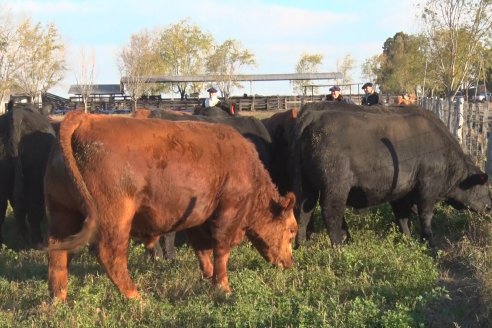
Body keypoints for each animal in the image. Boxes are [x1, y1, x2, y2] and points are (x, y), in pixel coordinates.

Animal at [45, 111, 296, 302]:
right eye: (292, 230)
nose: (290, 263)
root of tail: (85, 117)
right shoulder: (228, 212)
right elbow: (221, 250)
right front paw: (223, 287)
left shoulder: (197, 218)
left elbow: (202, 251)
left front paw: (209, 278)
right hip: (115, 218)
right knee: (110, 256)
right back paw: (136, 298)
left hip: (61, 214)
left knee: (57, 254)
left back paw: (58, 300)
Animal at [292, 102, 492, 246]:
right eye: (485, 186)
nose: (490, 208)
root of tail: (312, 116)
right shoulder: (428, 189)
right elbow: (425, 217)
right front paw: (430, 242)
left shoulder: (401, 192)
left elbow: (402, 217)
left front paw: (408, 239)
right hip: (335, 187)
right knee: (331, 214)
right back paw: (339, 246)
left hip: (308, 187)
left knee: (304, 212)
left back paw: (302, 245)